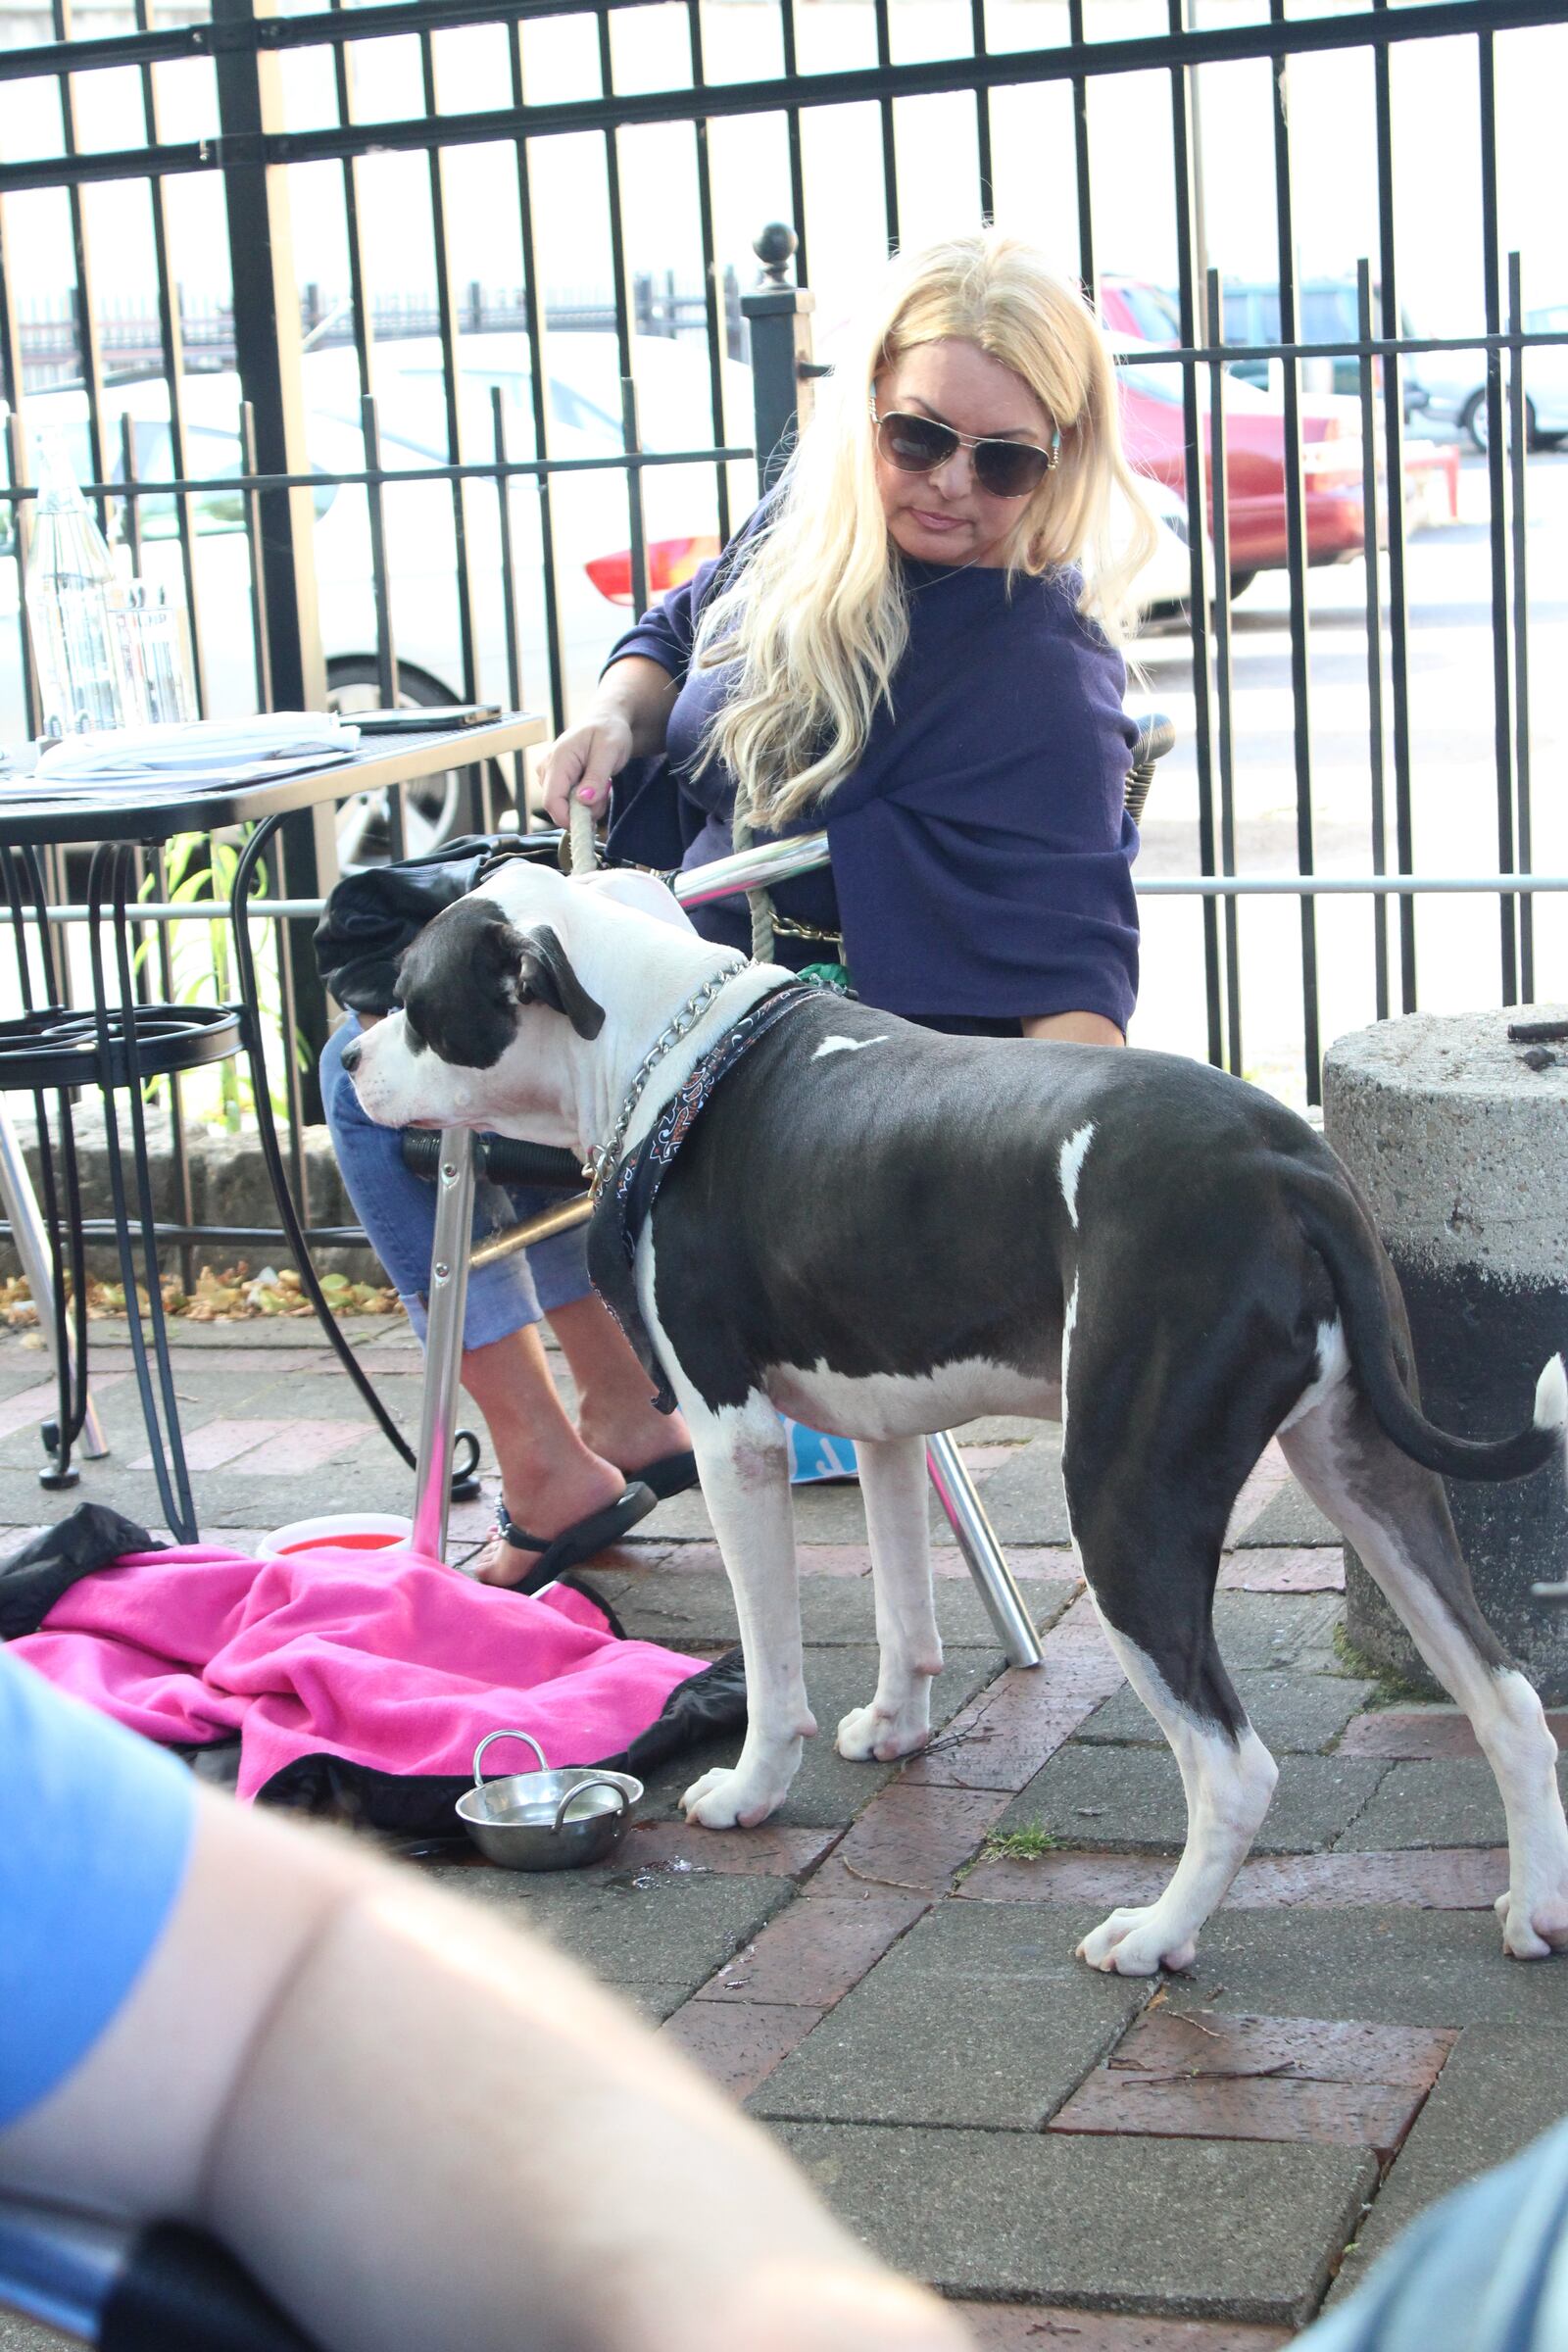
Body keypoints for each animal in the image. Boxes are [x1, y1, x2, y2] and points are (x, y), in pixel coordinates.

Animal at [343, 856, 1568, 1976]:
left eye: (411, 997)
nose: (349, 1059)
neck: (663, 1047)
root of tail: (1284, 1162)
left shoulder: (734, 1440)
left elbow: (771, 1658)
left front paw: (750, 1788)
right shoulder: (886, 1428)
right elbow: (902, 1608)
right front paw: (894, 1728)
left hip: (1127, 1503)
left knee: (1232, 1764)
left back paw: (1156, 1935)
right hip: (1363, 1467)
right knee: (1503, 1692)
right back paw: (1534, 1910)